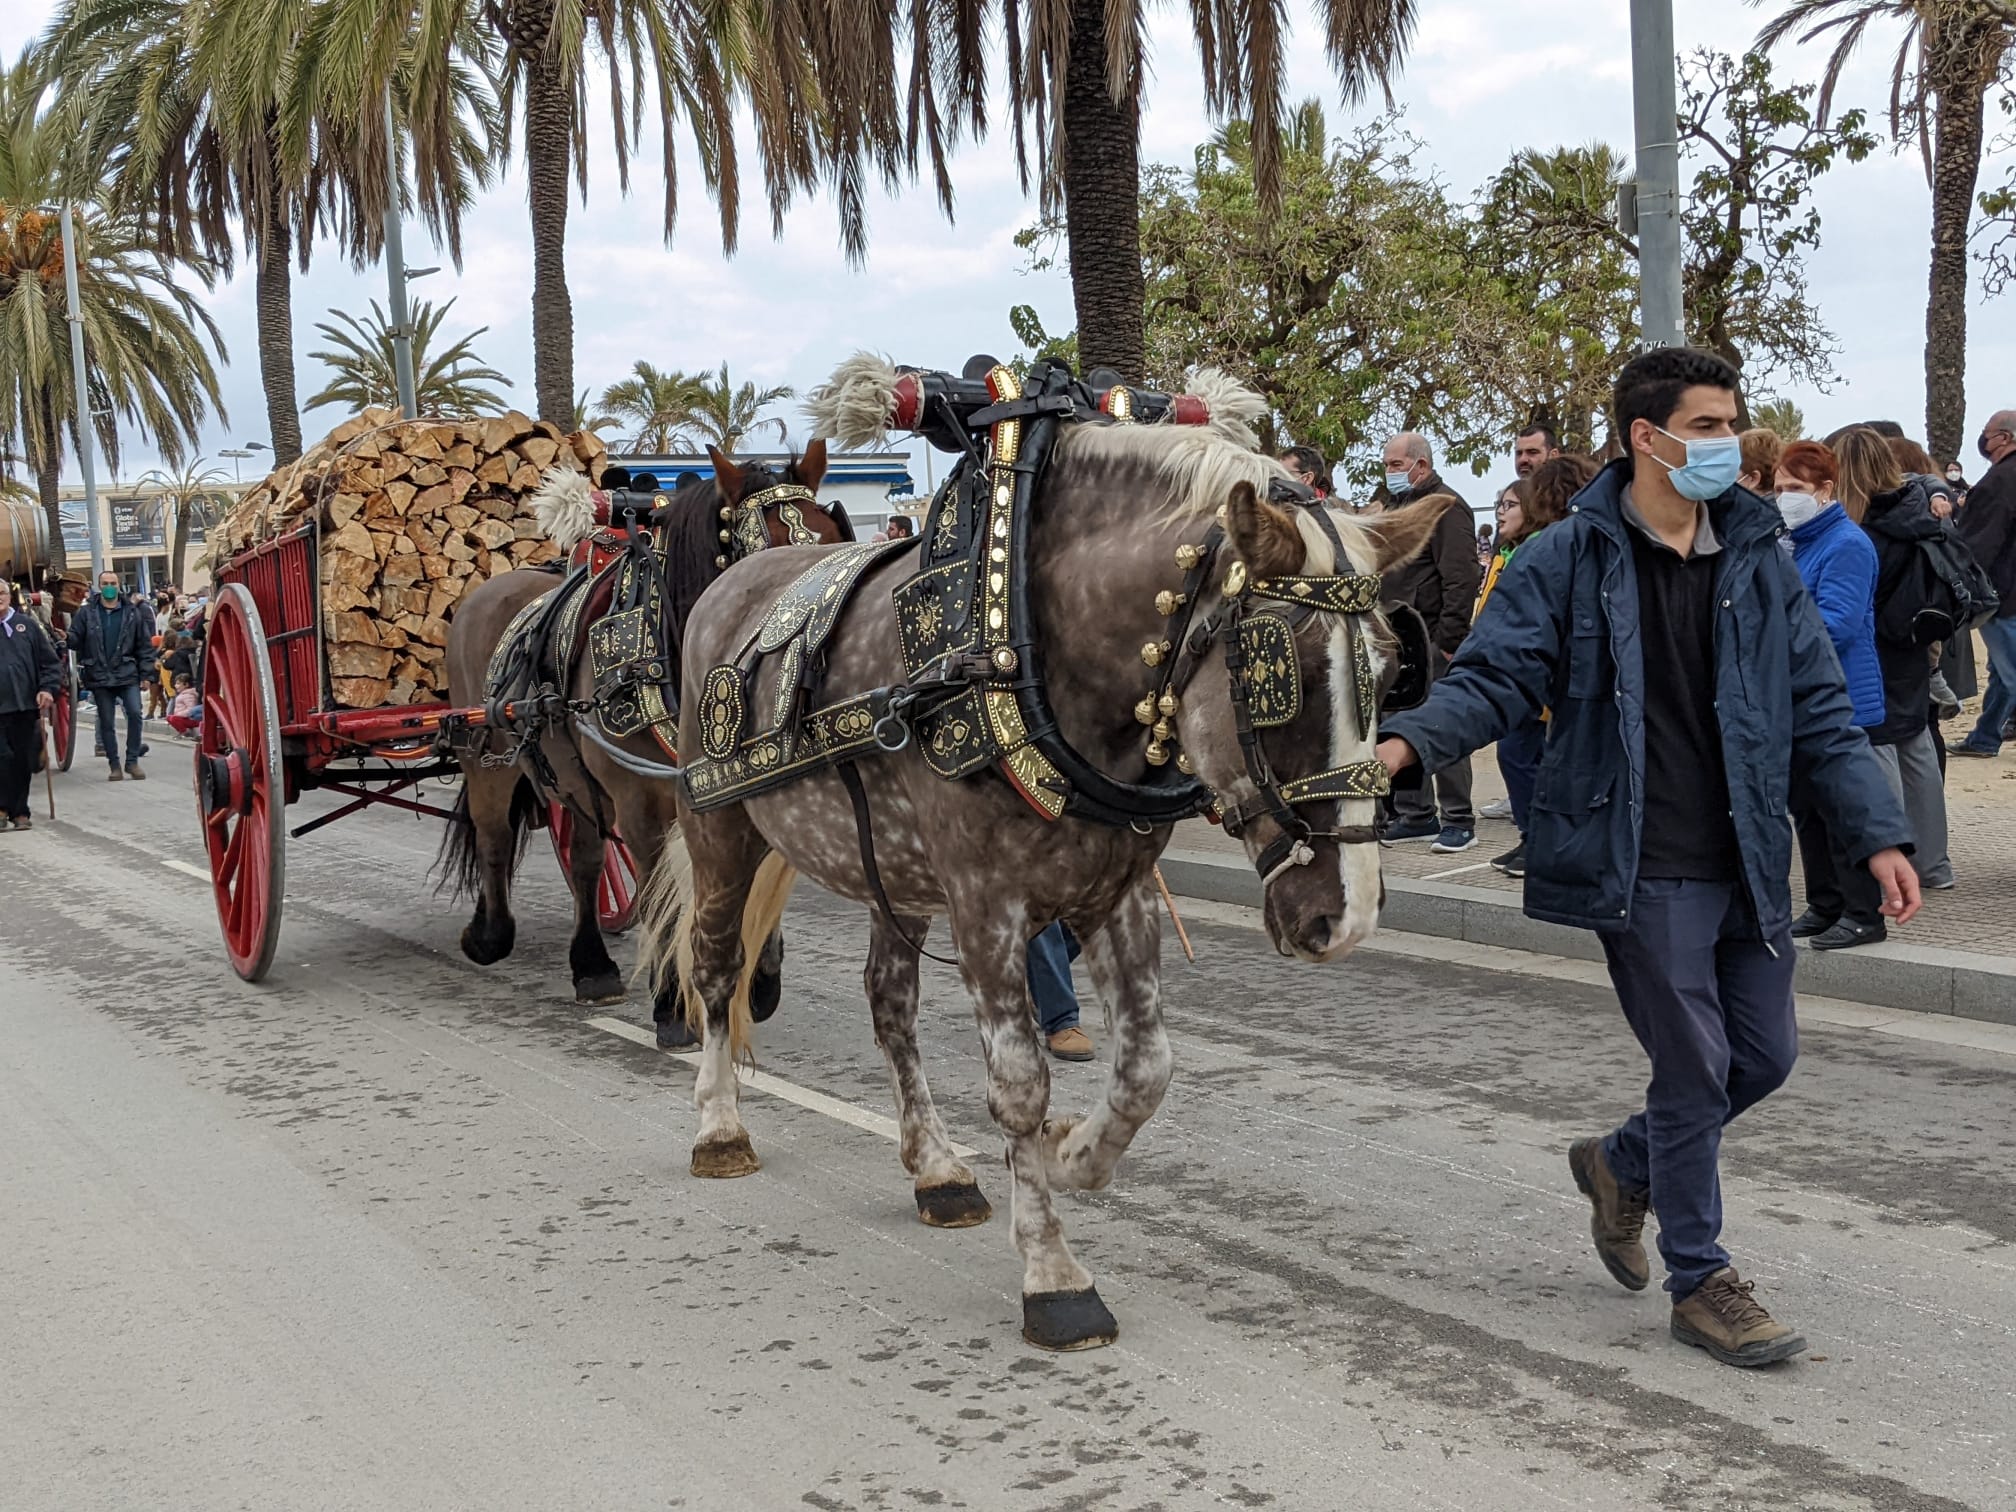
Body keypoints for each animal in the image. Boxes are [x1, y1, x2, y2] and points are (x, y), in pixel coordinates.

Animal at [437, 443, 854, 1040]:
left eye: (838, 541)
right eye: (765, 564)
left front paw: (758, 983)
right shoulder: (640, 806)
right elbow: (665, 898)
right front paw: (673, 1005)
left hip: (574, 780)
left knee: (587, 862)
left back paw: (591, 965)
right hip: (486, 755)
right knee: (494, 836)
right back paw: (491, 936)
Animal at [645, 360, 1451, 1354]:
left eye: (1393, 667)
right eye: (1279, 675)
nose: (1349, 915)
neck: (1028, 647)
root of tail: (734, 583)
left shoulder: (1117, 892)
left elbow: (1146, 1068)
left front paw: (1073, 1158)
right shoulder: (986, 906)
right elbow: (1020, 1084)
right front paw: (1053, 1271)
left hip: (891, 874)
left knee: (889, 1004)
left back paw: (936, 1167)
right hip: (721, 828)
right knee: (715, 967)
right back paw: (720, 1126)